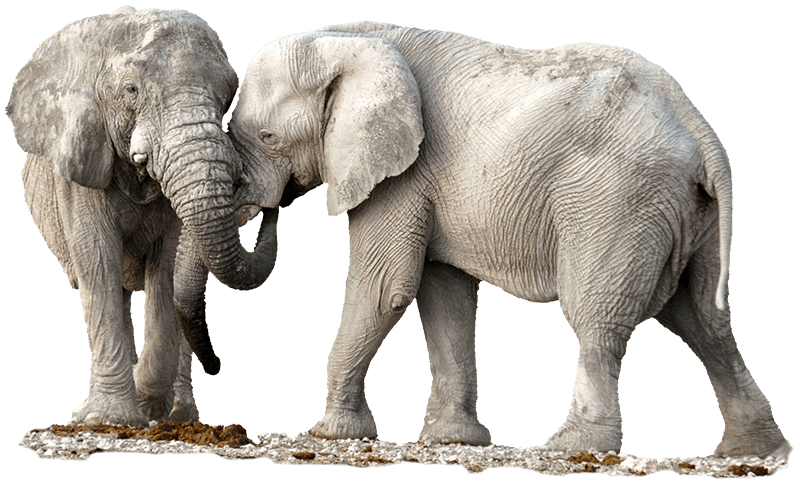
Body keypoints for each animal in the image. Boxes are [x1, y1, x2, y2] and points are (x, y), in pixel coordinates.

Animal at [7, 7, 278, 427]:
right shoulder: (82, 162)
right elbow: (97, 261)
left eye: (228, 94)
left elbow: (167, 270)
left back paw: (178, 417)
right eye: (131, 90)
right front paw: (110, 420)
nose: (218, 365)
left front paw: (147, 407)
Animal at [228, 21, 791, 458]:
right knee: (703, 321)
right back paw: (753, 452)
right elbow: (445, 296)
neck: (347, 42)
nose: (271, 209)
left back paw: (572, 447)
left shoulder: (401, 174)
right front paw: (453, 441)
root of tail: (702, 133)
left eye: (269, 138)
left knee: (599, 316)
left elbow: (386, 288)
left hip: (617, 200)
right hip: (684, 213)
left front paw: (329, 434)